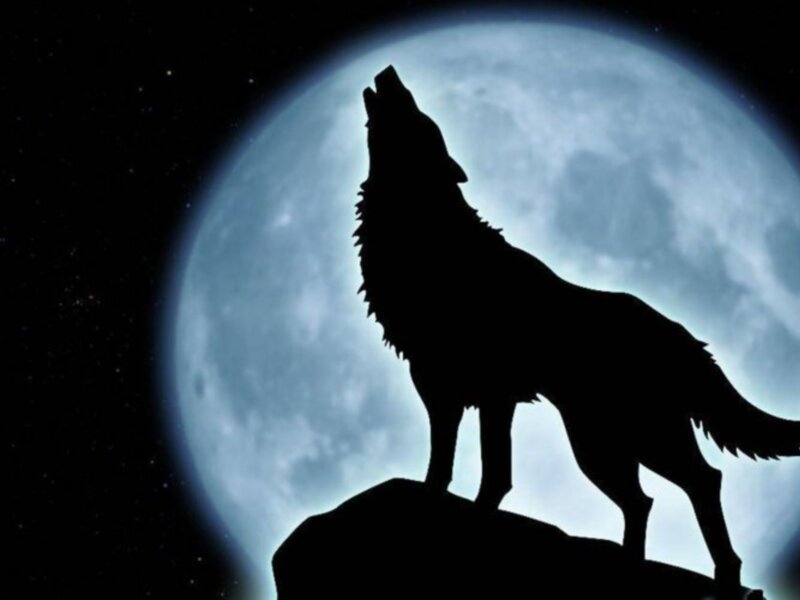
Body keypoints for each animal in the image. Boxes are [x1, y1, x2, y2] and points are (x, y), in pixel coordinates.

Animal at [354, 65, 799, 593]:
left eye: (420, 117)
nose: (389, 72)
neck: (429, 236)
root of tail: (681, 334)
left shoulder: (486, 394)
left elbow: (489, 473)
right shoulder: (445, 391)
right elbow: (448, 468)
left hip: (629, 438)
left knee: (700, 481)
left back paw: (722, 577)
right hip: (603, 443)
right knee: (645, 499)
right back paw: (632, 565)